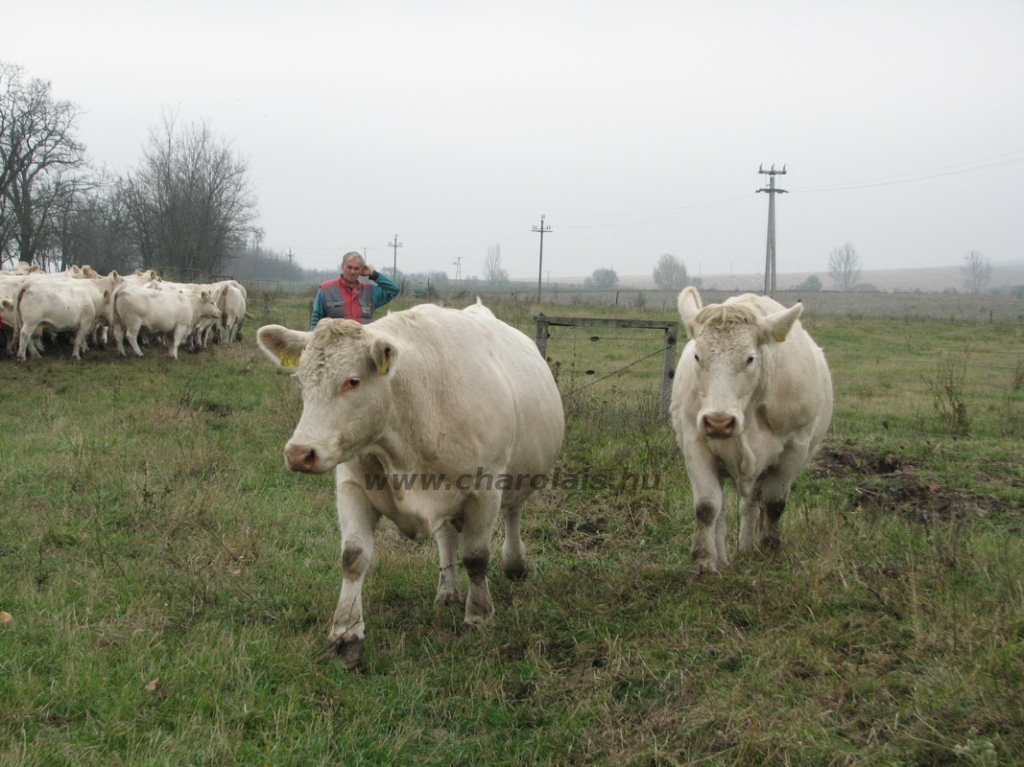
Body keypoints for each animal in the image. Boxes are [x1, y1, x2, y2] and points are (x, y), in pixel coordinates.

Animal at [0, 262, 247, 360]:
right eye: (212, 303)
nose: (217, 313)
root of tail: (27, 284)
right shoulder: (180, 327)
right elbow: (176, 342)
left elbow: (170, 341)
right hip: (133, 322)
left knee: (119, 336)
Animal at [253, 299, 561, 663]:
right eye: (300, 380)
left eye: (353, 381)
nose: (300, 453)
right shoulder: (352, 487)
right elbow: (353, 557)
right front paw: (346, 632)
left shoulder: (485, 488)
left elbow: (476, 557)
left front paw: (479, 616)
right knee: (447, 537)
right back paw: (448, 591)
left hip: (522, 473)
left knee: (513, 512)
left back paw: (514, 564)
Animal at [671, 288, 831, 573]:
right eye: (698, 356)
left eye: (750, 358)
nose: (718, 421)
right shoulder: (695, 441)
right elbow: (707, 506)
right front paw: (704, 561)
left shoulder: (795, 447)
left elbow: (775, 504)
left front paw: (772, 549)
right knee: (725, 511)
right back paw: (725, 556)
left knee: (751, 505)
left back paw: (747, 548)